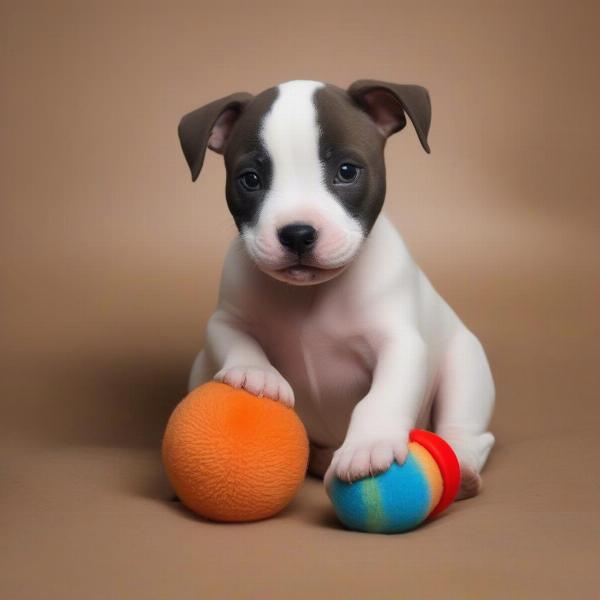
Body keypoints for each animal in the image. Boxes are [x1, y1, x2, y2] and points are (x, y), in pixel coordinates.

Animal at [179, 81, 496, 502]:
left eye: (346, 172)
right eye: (250, 179)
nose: (297, 233)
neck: (311, 294)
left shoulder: (400, 345)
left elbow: (383, 395)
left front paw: (369, 444)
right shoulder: (224, 317)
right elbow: (234, 338)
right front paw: (255, 374)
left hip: (465, 364)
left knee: (470, 428)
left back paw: (463, 465)